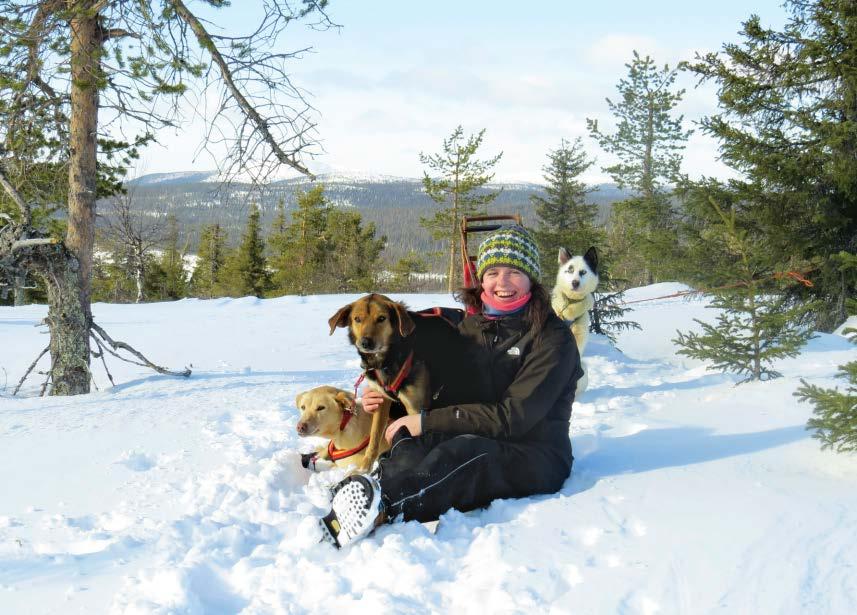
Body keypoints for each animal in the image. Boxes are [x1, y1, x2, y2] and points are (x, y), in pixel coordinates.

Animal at [330, 294, 474, 472]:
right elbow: (374, 439)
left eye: (381, 318)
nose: (365, 343)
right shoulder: (381, 401)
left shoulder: (415, 408)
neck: (388, 360)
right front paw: (365, 467)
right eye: (357, 319)